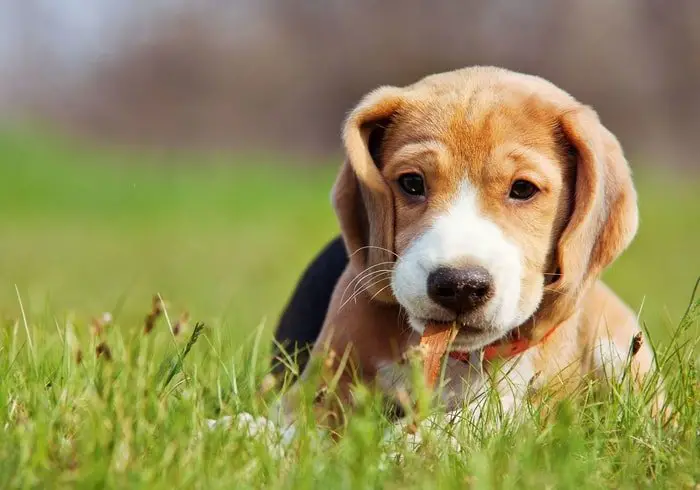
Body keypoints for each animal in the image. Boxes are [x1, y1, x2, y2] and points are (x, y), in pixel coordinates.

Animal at [272, 66, 656, 428]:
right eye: (411, 183)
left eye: (523, 189)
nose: (460, 285)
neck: (456, 358)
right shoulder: (317, 387)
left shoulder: (527, 403)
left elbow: (472, 421)